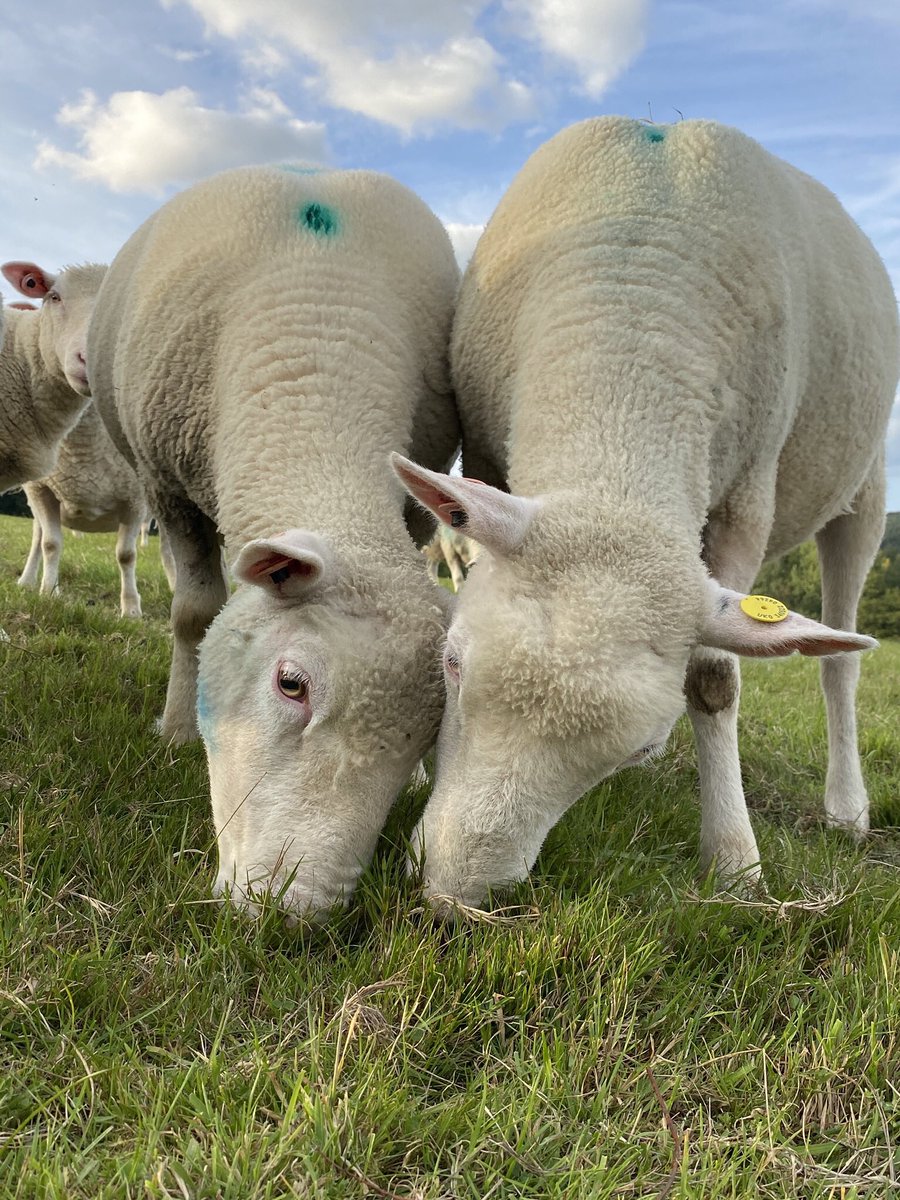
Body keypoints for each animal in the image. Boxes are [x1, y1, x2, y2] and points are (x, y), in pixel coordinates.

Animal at [17, 402, 149, 618]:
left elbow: (126, 555)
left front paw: (131, 611)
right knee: (38, 537)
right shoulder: (41, 489)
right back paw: (26, 581)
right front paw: (49, 593)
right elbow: (50, 544)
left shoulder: (136, 500)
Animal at [87, 165, 460, 920]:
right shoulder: (166, 485)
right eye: (292, 684)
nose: (297, 914)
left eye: (430, 733)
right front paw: (176, 728)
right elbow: (196, 615)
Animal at [393, 116, 900, 910]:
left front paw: (735, 860)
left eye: (639, 745)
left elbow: (715, 682)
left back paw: (846, 807)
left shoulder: (745, 501)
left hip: (864, 482)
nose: (451, 896)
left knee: (840, 662)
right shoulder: (487, 462)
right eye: (451, 664)